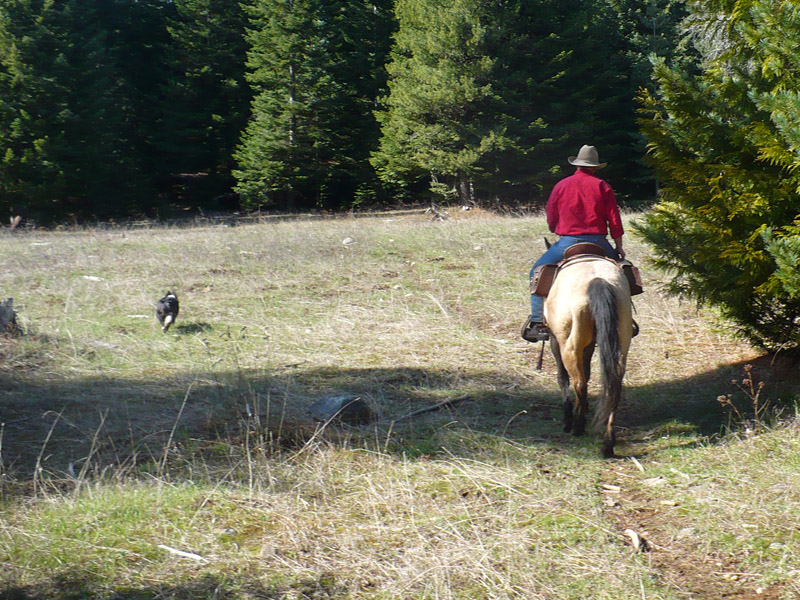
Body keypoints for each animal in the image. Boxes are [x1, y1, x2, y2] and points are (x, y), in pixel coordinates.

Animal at [544, 256, 633, 458]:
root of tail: (597, 280)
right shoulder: (591, 344)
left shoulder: (555, 340)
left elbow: (562, 378)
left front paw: (568, 417)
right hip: (622, 344)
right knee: (613, 387)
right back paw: (608, 443)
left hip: (569, 347)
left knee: (580, 384)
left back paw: (577, 426)